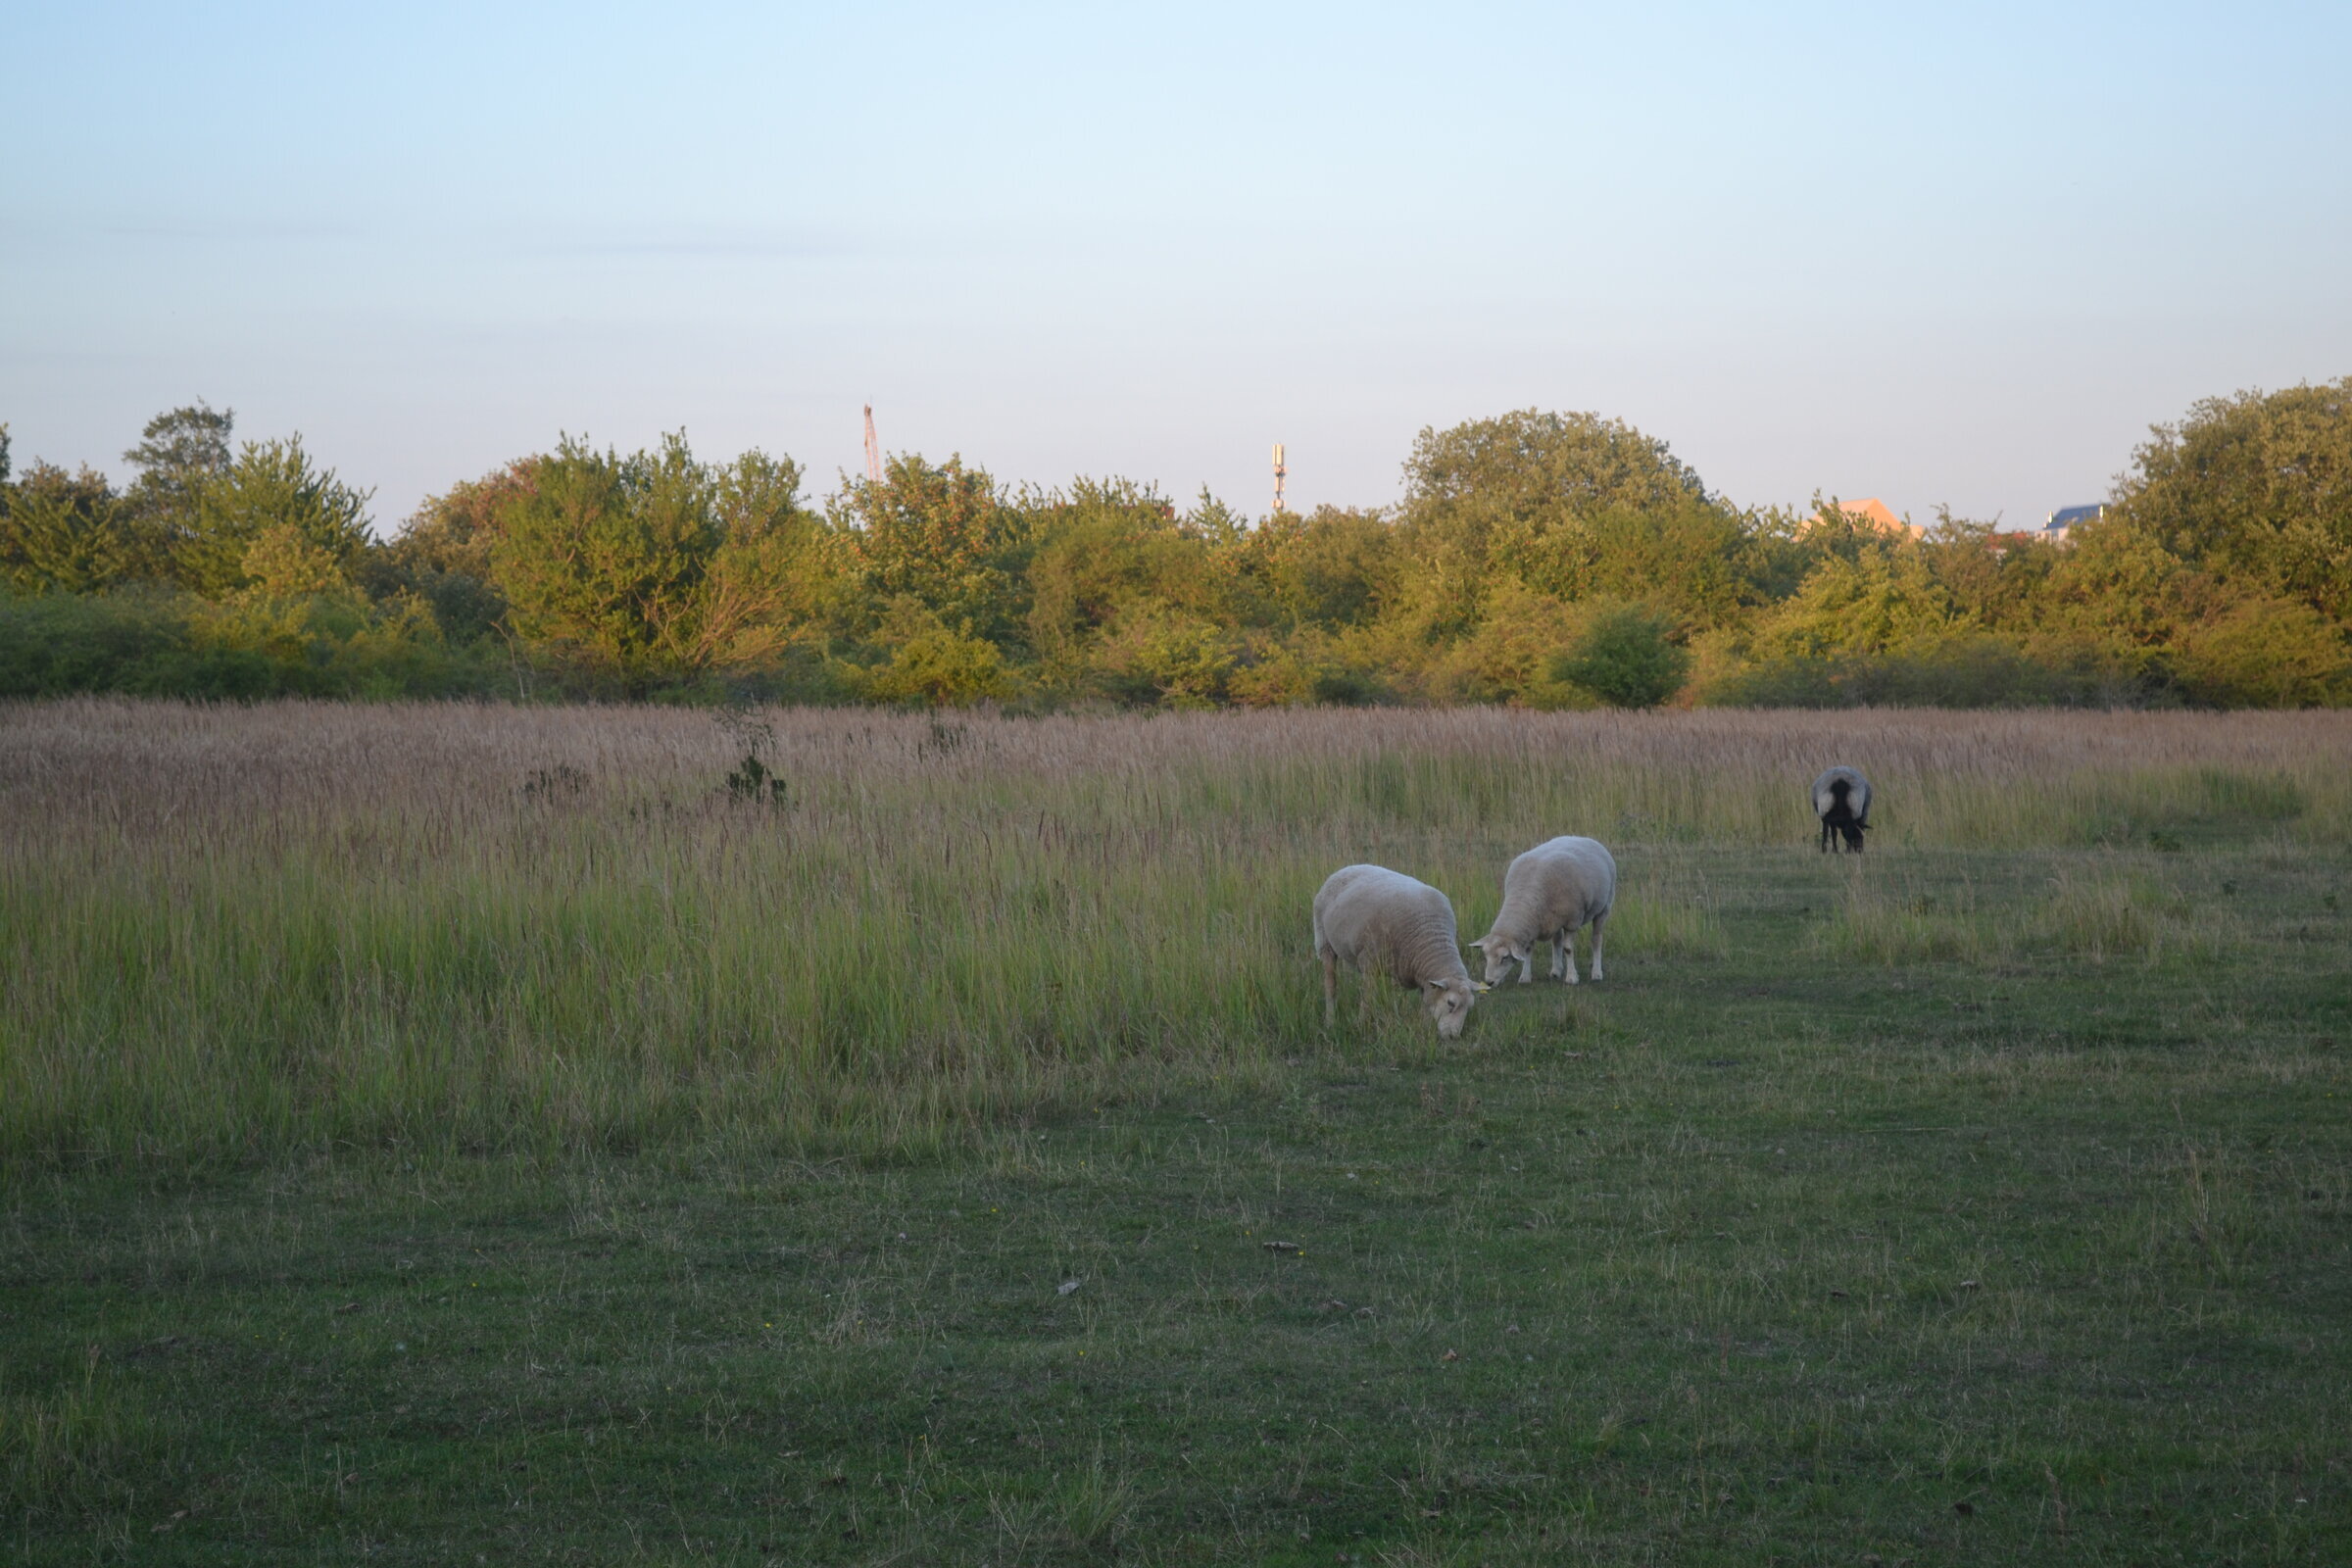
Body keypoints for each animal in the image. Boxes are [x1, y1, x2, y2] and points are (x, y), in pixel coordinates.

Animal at [1312, 864, 1485, 1038]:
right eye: (1450, 1003)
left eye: (1469, 1007)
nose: (1452, 1037)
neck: (1431, 937)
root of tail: (1345, 869)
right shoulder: (1370, 962)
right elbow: (1367, 998)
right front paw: (1361, 1025)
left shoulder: (1424, 979)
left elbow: (1426, 1004)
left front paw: (1424, 1029)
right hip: (1324, 941)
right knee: (1330, 984)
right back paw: (1330, 1020)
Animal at [1470, 836, 1617, 986]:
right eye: (1485, 956)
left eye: (1505, 957)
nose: (1489, 982)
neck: (1526, 895)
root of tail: (1584, 838)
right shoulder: (1532, 925)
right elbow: (1528, 950)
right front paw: (1525, 977)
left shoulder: (1572, 921)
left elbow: (1568, 949)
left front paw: (1572, 978)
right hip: (1556, 918)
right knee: (1557, 940)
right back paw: (1556, 970)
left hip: (1604, 907)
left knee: (1596, 939)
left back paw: (1597, 973)